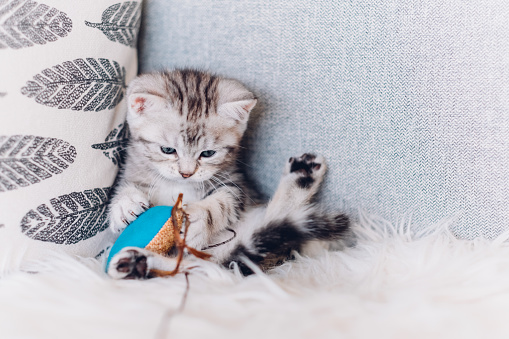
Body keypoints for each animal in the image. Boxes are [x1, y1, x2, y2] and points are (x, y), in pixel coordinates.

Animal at [106, 68, 346, 278]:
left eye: (208, 153)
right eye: (167, 150)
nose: (186, 173)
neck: (180, 185)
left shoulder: (236, 184)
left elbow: (221, 203)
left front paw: (198, 219)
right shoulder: (134, 168)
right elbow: (127, 186)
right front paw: (124, 204)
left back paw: (302, 174)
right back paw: (136, 263)